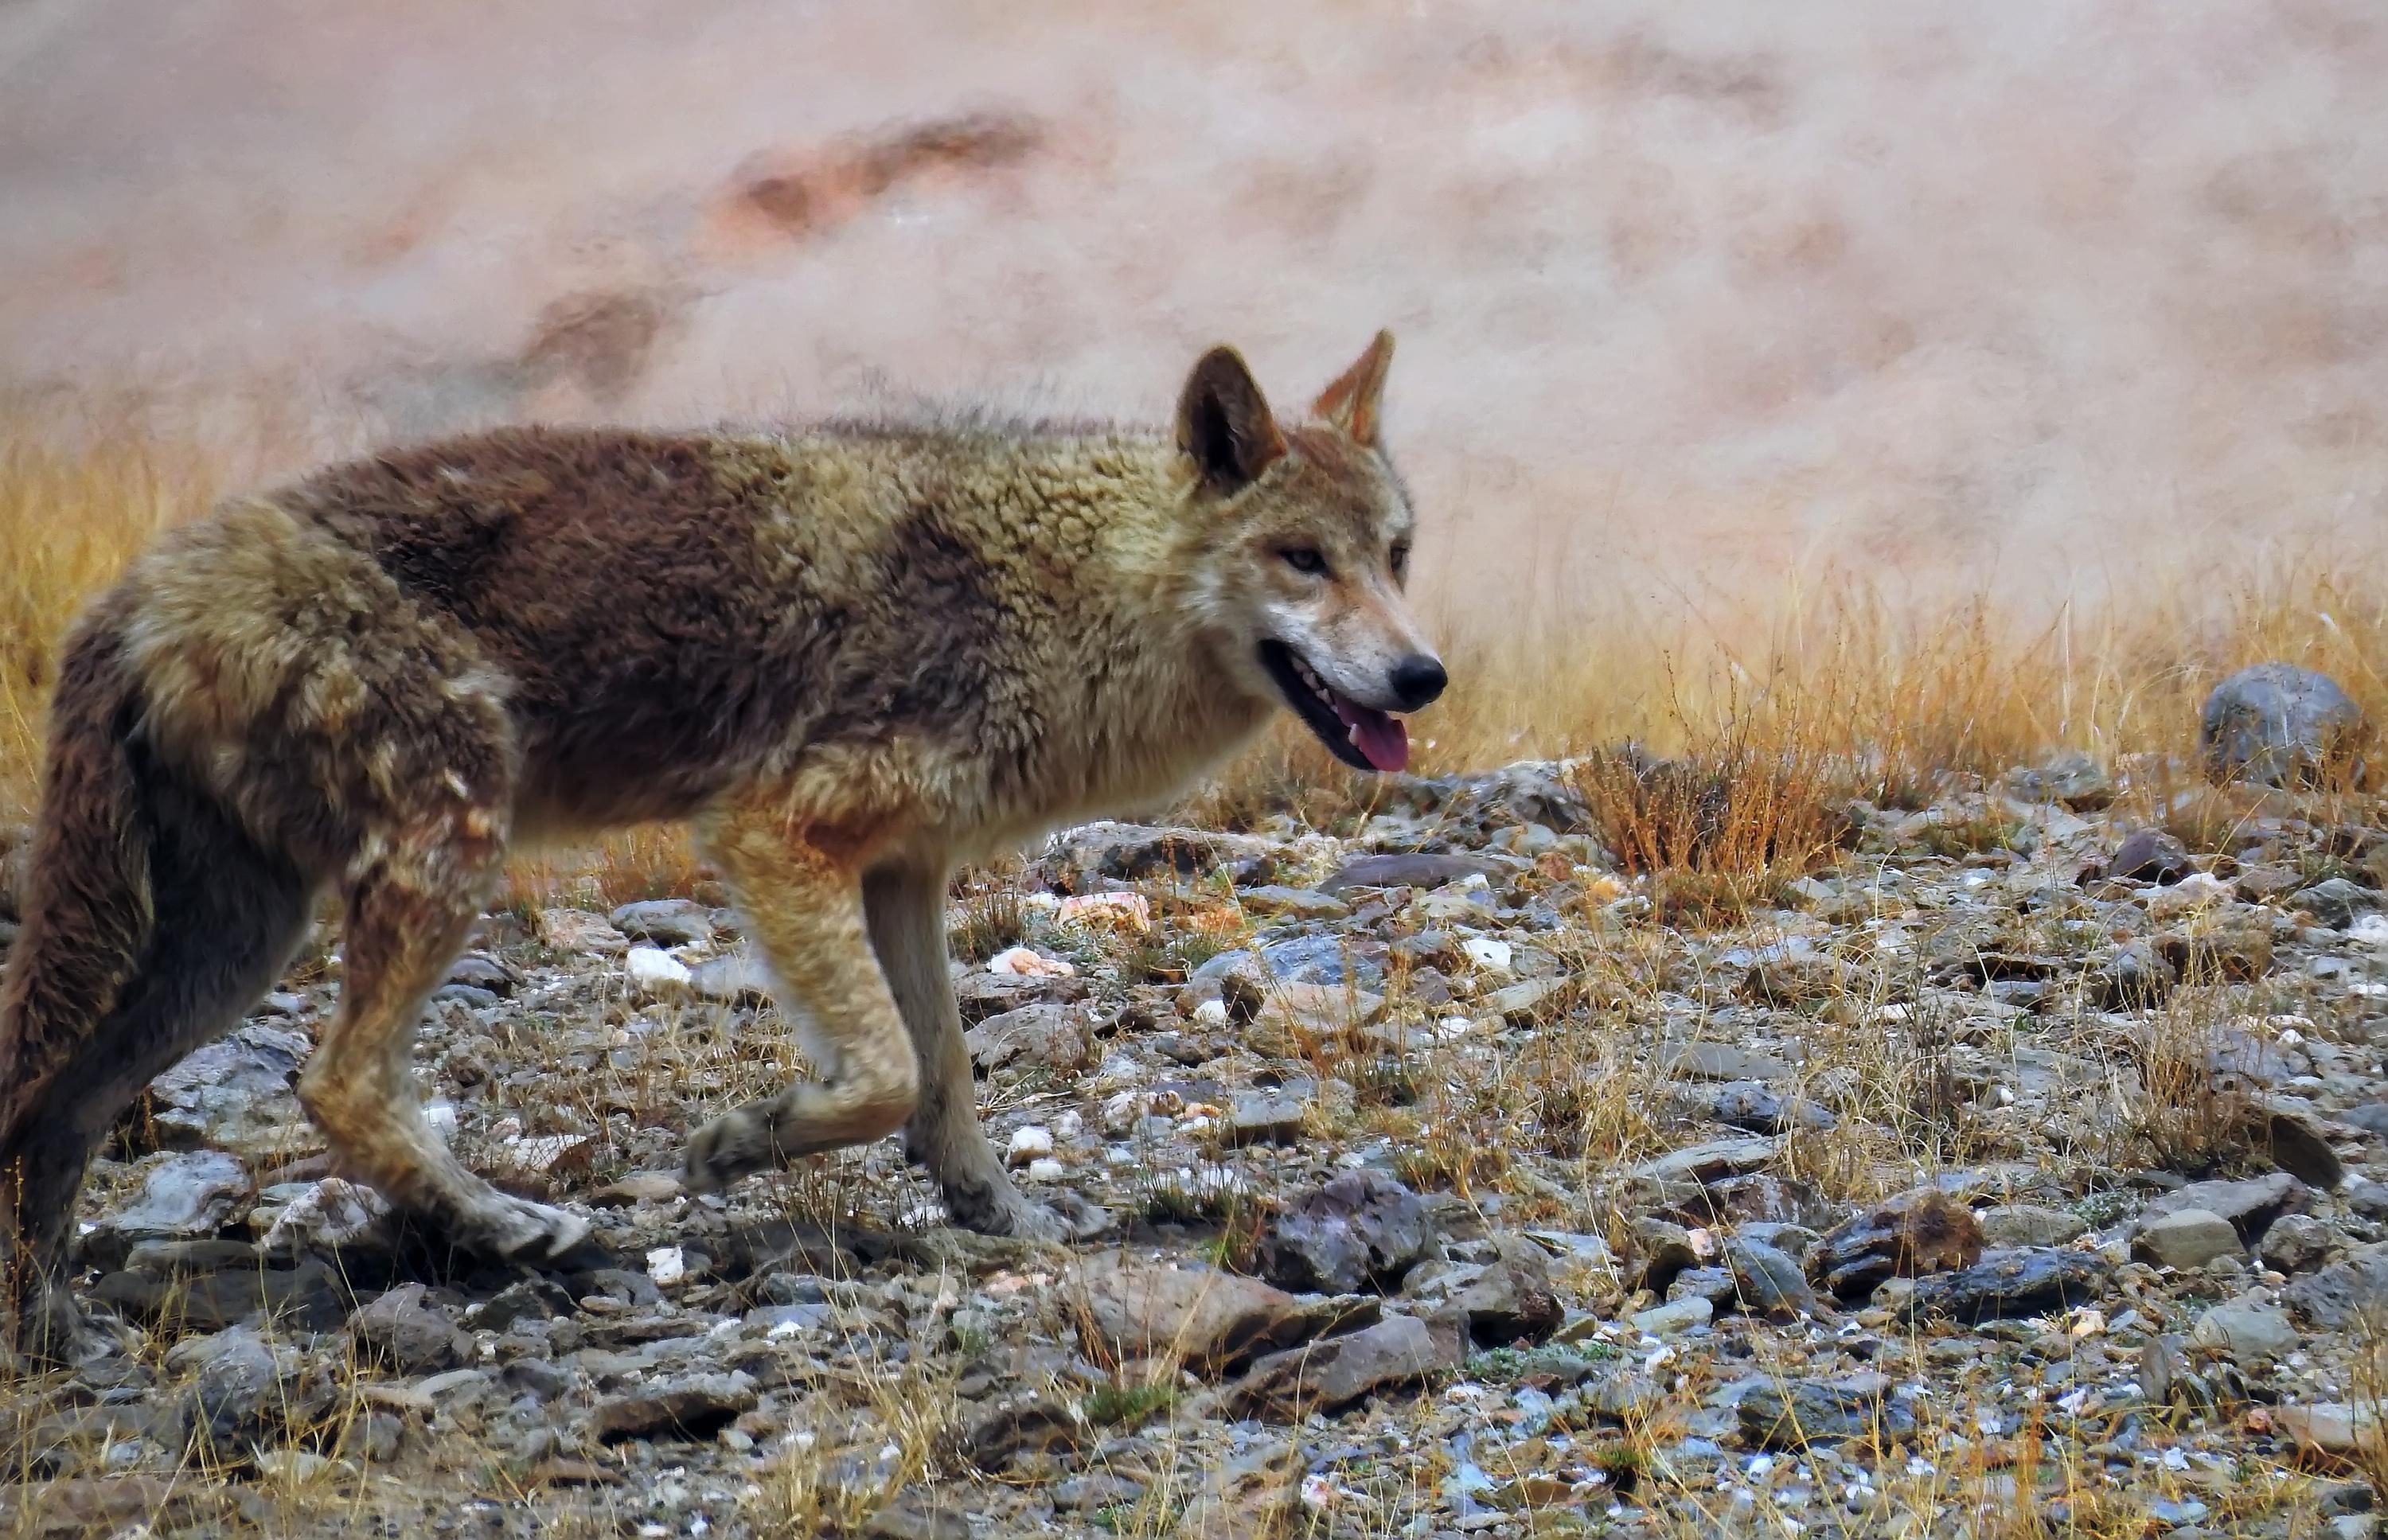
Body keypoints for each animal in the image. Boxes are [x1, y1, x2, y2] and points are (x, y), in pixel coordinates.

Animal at [0, 334, 1433, 1347]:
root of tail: (133, 590)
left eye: (1398, 554)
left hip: (233, 945)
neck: (1063, 589)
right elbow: (882, 1074)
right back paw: (519, 1227)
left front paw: (1001, 1213)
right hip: (440, 845)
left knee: (61, 1111)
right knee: (335, 1085)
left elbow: (945, 1077)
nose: (1425, 676)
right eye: (1301, 558)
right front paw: (737, 1143)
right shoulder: (772, 833)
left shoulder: (904, 871)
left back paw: (53, 1323)